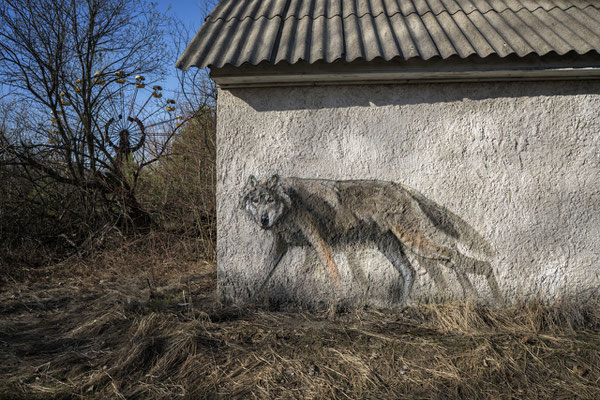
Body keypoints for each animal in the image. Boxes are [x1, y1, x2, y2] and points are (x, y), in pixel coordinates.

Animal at [241, 174, 504, 304]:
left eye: (269, 199)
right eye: (255, 200)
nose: (264, 220)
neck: (288, 206)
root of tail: (400, 186)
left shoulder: (318, 241)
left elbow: (332, 272)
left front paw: (337, 301)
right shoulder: (281, 244)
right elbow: (264, 272)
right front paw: (250, 299)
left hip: (414, 241)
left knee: (453, 255)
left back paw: (474, 297)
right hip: (390, 246)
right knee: (412, 271)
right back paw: (400, 306)